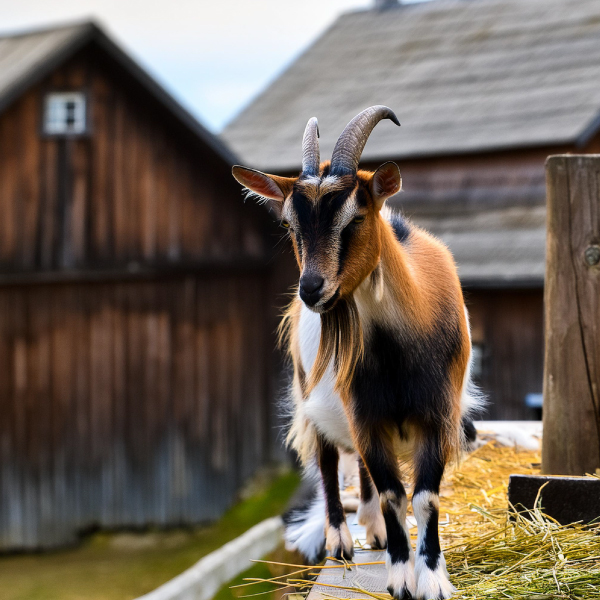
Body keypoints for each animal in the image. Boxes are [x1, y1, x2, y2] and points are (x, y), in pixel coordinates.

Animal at [232, 105, 480, 596]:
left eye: (356, 218)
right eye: (289, 225)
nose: (312, 289)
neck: (397, 348)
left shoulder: (437, 412)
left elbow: (424, 498)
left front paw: (432, 578)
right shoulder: (366, 415)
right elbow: (392, 494)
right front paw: (401, 577)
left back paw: (374, 530)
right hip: (314, 399)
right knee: (329, 465)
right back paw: (341, 540)